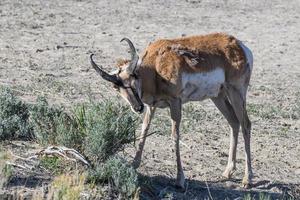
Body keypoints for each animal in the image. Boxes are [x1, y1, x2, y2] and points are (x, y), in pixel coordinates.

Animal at [91, 32, 253, 188]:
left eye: (134, 77)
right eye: (116, 87)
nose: (138, 107)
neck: (155, 67)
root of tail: (240, 46)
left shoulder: (175, 102)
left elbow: (175, 136)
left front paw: (180, 180)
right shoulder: (152, 106)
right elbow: (144, 130)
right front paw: (133, 166)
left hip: (236, 93)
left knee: (246, 124)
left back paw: (247, 179)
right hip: (218, 97)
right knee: (234, 123)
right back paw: (228, 172)